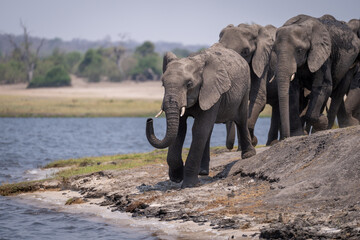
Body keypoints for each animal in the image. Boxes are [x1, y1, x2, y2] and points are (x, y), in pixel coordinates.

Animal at [145, 43, 258, 189]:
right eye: (163, 84)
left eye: (189, 84)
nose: (149, 120)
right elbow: (181, 129)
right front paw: (176, 178)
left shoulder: (213, 89)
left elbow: (199, 129)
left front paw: (190, 185)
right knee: (208, 130)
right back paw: (203, 172)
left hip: (245, 88)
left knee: (241, 119)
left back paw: (248, 155)